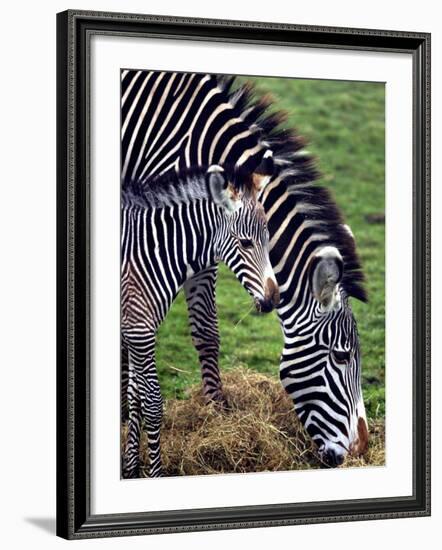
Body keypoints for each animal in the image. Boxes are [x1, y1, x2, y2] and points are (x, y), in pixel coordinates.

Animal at [121, 164, 280, 478]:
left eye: (269, 240)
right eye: (245, 243)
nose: (272, 300)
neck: (150, 253)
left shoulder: (134, 331)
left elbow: (135, 396)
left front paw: (131, 467)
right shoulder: (139, 331)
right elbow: (152, 403)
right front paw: (154, 474)